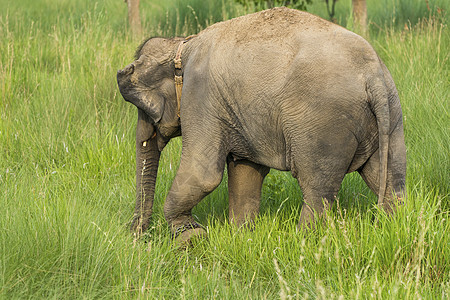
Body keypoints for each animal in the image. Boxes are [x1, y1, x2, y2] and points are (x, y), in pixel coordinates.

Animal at [118, 7, 406, 241]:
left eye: (143, 108)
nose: (138, 237)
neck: (182, 44)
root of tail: (372, 75)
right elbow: (245, 170)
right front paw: (241, 236)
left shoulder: (201, 97)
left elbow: (203, 175)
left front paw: (190, 238)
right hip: (391, 114)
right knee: (391, 181)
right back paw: (391, 226)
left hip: (323, 126)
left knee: (317, 190)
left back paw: (303, 242)